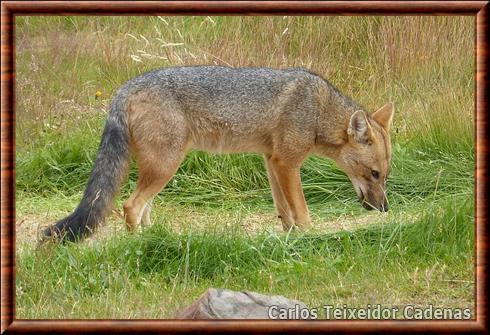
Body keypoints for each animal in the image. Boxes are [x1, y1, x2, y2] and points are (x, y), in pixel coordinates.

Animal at [41, 66, 394, 244]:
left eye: (385, 175)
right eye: (374, 174)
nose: (385, 209)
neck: (318, 109)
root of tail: (125, 86)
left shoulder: (272, 162)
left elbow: (284, 211)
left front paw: (290, 237)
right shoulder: (288, 164)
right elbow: (302, 210)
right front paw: (309, 237)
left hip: (157, 169)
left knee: (142, 208)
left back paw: (155, 237)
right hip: (166, 167)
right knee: (130, 206)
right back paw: (139, 245)